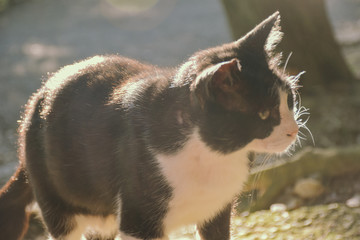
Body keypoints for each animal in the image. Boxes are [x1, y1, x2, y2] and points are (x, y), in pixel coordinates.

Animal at [0, 12, 302, 240]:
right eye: (263, 114)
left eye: (290, 99)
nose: (294, 130)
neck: (208, 155)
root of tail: (39, 95)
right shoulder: (139, 221)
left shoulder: (217, 212)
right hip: (56, 197)